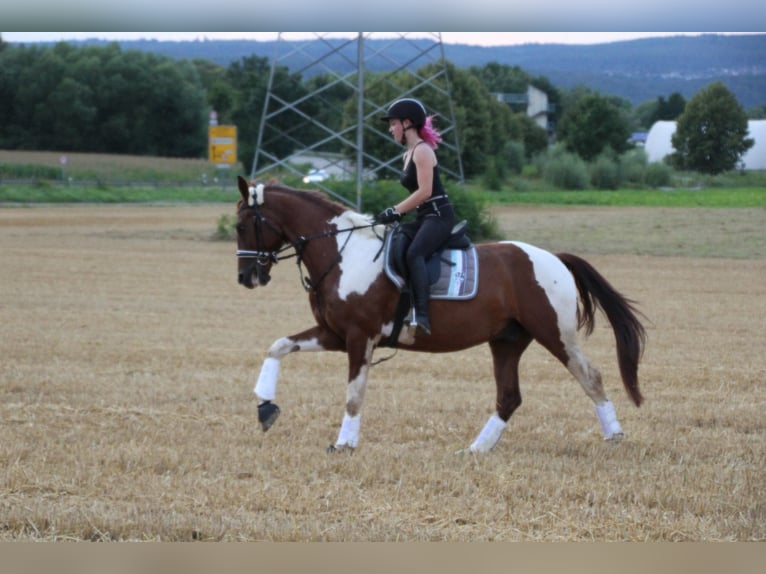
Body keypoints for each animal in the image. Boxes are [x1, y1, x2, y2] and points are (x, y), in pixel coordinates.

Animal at [234, 176, 647, 453]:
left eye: (241, 226)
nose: (246, 277)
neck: (341, 254)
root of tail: (553, 258)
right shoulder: (333, 334)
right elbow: (278, 346)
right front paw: (265, 407)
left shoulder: (359, 337)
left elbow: (354, 394)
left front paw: (344, 443)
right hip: (507, 341)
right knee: (509, 397)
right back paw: (477, 449)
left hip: (555, 333)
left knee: (589, 376)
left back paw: (614, 435)